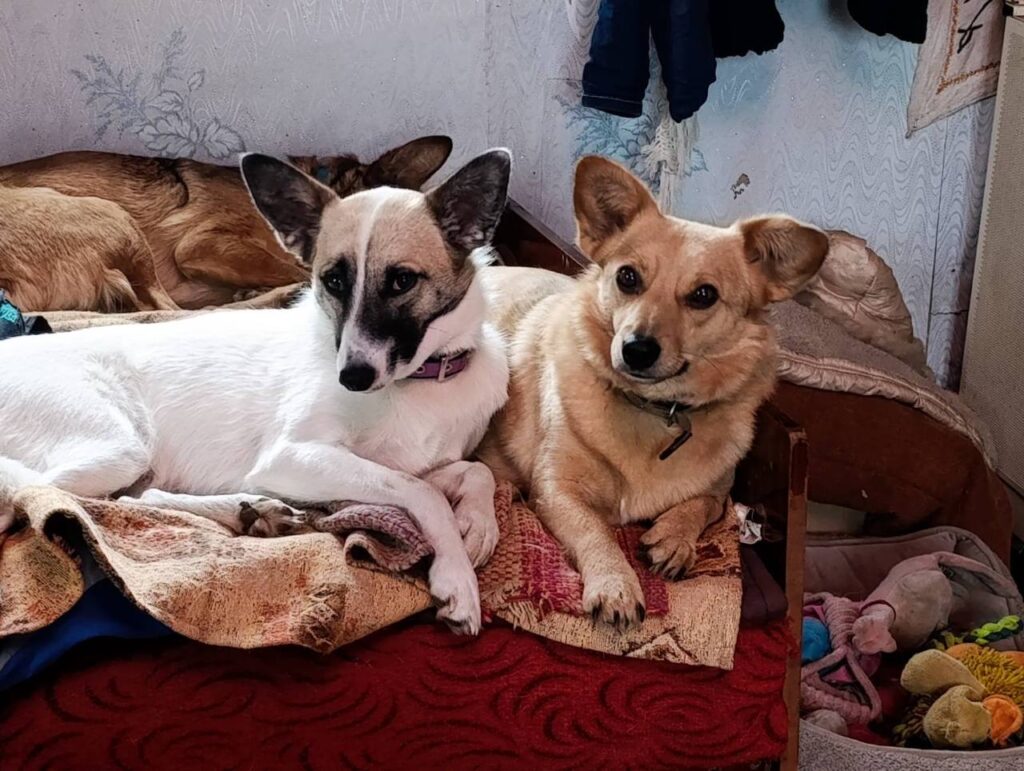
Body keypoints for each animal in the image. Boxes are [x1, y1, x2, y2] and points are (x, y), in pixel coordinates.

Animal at [476, 155, 828, 629]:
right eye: (627, 277)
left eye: (704, 295)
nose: (637, 349)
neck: (658, 410)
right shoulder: (556, 493)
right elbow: (596, 532)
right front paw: (616, 584)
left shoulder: (719, 490)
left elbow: (708, 503)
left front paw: (676, 538)